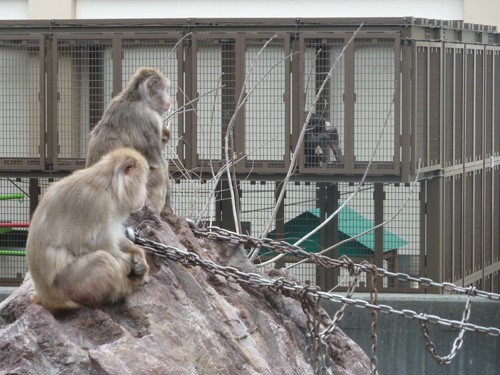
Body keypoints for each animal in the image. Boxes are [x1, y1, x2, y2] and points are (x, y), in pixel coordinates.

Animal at [26, 148, 150, 312]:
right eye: (143, 182)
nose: (145, 194)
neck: (110, 186)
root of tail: (47, 299)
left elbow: (115, 237)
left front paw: (138, 255)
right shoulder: (97, 204)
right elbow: (92, 244)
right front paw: (130, 262)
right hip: (68, 285)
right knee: (102, 260)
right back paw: (128, 285)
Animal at [86, 67, 172, 213]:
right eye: (166, 89)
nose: (170, 98)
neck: (137, 97)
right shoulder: (151, 118)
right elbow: (159, 164)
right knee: (158, 174)